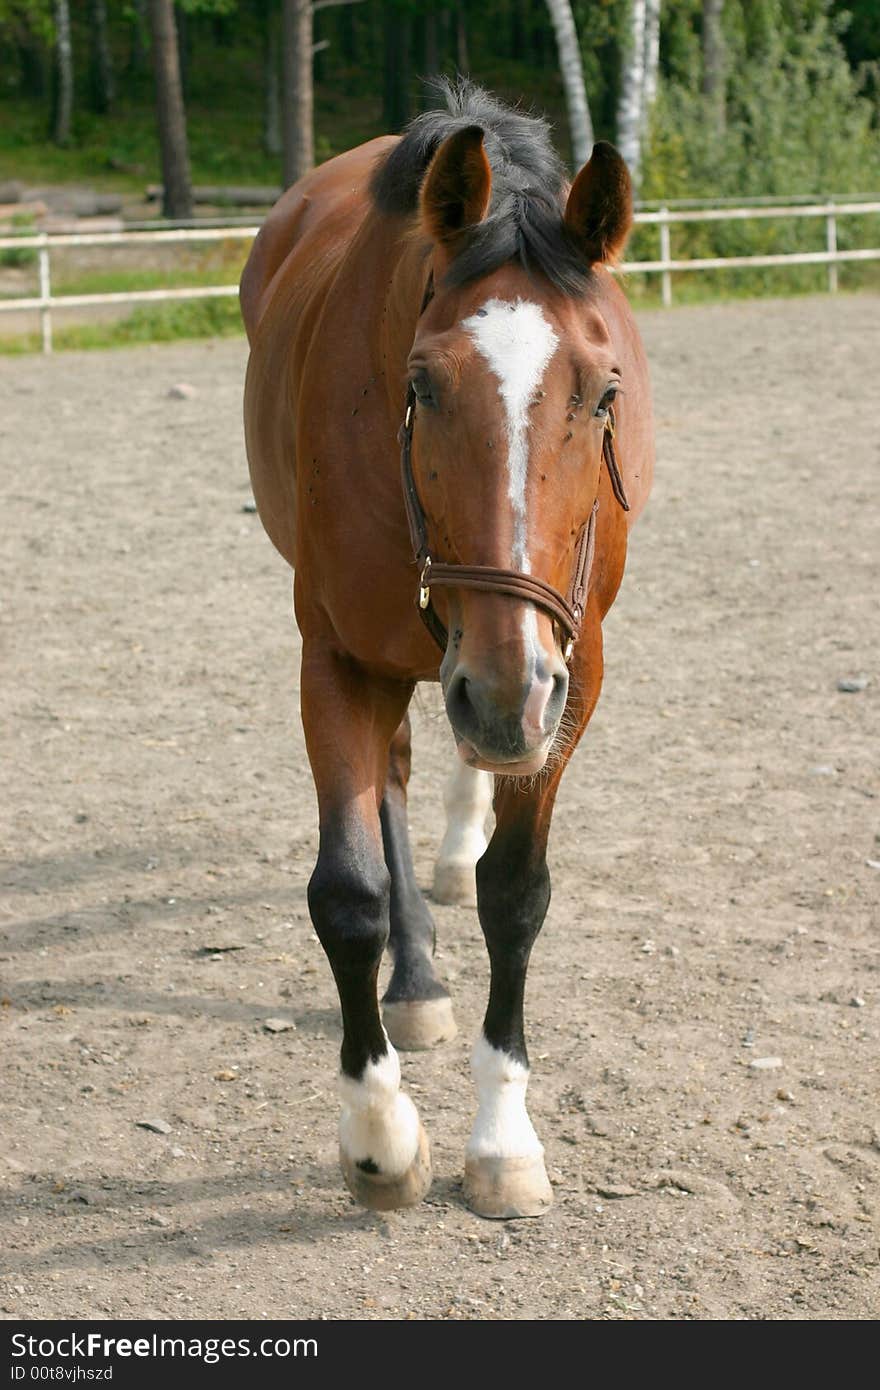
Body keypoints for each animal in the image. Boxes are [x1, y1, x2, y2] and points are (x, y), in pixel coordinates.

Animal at [240, 81, 653, 1223]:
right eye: (422, 386)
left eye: (603, 393)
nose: (505, 695)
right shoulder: (336, 660)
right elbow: (347, 893)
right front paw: (379, 1139)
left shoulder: (571, 673)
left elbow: (518, 892)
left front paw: (504, 1142)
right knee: (396, 776)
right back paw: (418, 978)